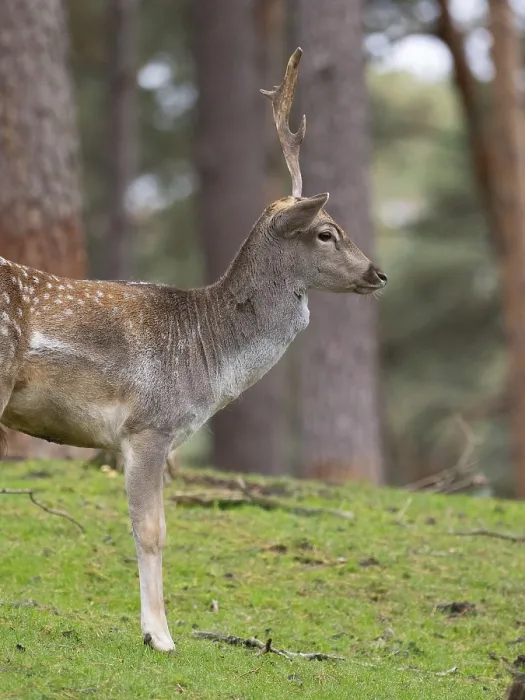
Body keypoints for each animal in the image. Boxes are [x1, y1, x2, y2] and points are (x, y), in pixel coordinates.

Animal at [0, 48, 386, 652]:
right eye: (327, 232)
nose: (378, 274)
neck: (206, 361)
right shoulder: (148, 426)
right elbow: (152, 530)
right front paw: (160, 636)